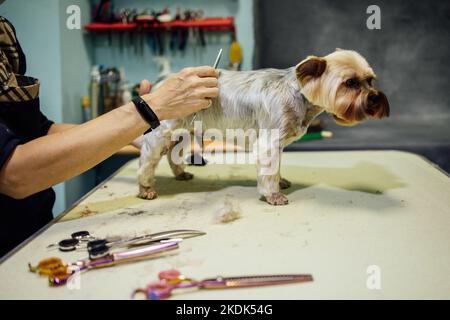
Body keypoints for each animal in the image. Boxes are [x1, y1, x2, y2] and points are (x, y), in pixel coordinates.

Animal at [138, 48, 390, 206]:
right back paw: (145, 189)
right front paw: (273, 195)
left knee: (172, 154)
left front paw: (281, 182)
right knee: (147, 159)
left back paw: (180, 174)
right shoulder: (269, 143)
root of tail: (162, 82)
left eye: (370, 80)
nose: (376, 98)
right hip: (162, 132)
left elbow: (275, 169)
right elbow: (269, 172)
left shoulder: (278, 145)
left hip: (186, 131)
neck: (299, 95)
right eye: (350, 83)